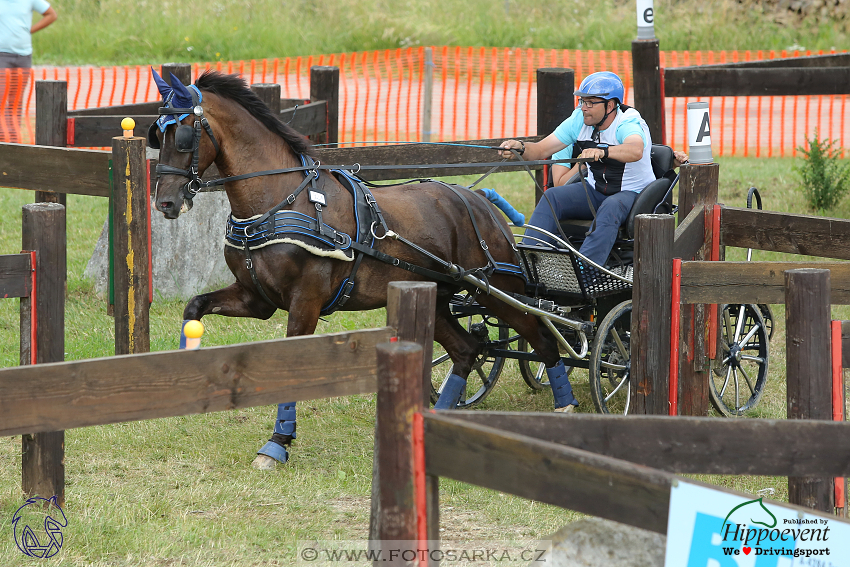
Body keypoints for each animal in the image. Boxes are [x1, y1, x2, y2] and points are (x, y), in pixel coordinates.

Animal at [149, 71, 568, 470]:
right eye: (157, 134)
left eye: (183, 136)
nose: (165, 202)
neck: (280, 201)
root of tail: (479, 200)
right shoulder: (256, 299)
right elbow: (194, 307)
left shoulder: (305, 302)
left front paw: (277, 443)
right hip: (435, 298)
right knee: (467, 351)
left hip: (497, 290)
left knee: (543, 339)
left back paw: (565, 406)